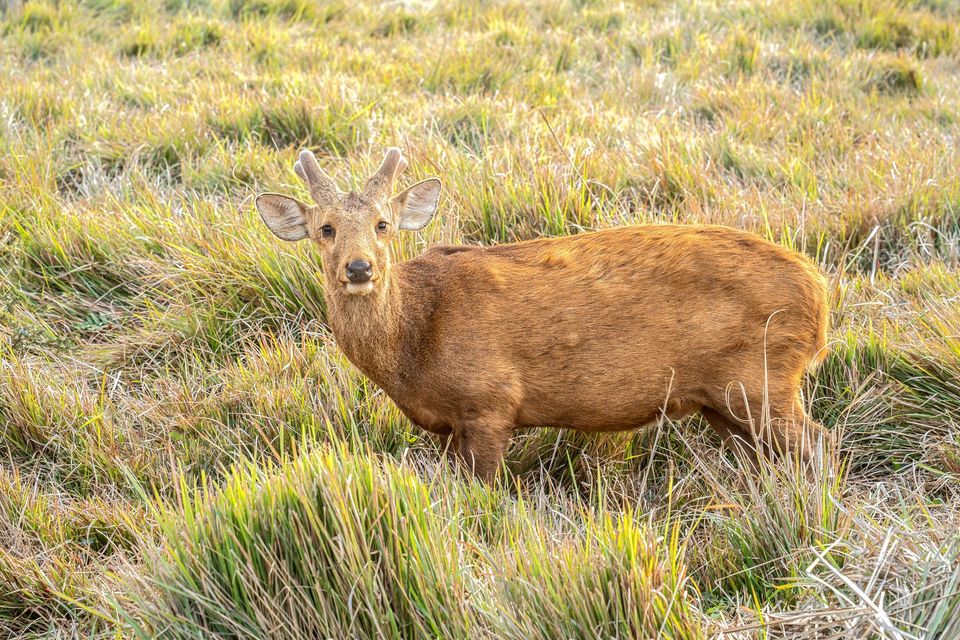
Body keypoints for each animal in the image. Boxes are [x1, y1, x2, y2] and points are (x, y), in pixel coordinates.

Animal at [254, 148, 830, 481]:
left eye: (383, 224)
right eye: (325, 228)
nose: (358, 267)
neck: (415, 344)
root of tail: (819, 298)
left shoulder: (490, 401)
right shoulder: (447, 427)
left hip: (761, 378)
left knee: (818, 444)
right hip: (725, 399)